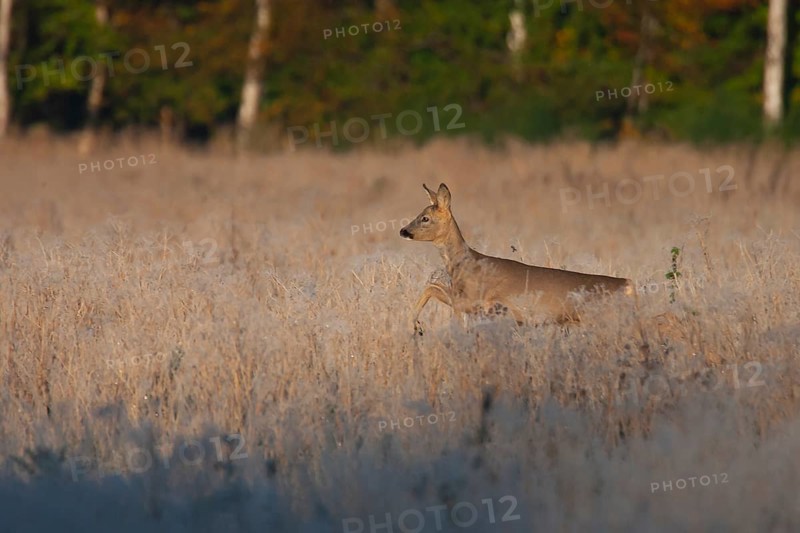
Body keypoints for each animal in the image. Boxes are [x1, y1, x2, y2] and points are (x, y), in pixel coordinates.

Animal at [400, 183, 633, 335]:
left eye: (425, 218)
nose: (403, 231)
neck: (465, 264)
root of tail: (628, 285)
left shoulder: (474, 300)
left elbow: (432, 288)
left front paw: (415, 325)